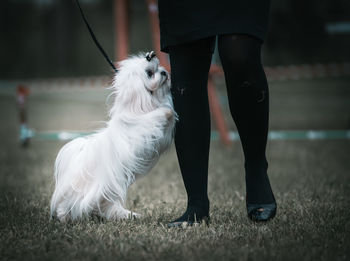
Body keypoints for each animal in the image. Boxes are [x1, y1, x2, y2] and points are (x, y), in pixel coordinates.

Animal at [50, 51, 175, 220]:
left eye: (159, 67)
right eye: (149, 73)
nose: (163, 72)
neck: (138, 107)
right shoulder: (144, 128)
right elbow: (159, 115)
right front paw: (167, 111)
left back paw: (127, 215)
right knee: (65, 205)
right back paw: (64, 217)